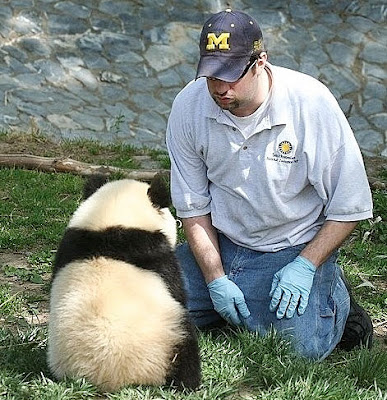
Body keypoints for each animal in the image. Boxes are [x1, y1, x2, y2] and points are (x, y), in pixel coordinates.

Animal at [47, 174, 202, 390]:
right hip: (167, 338)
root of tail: (113, 378)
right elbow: (177, 289)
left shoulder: (71, 243)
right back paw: (189, 382)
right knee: (186, 343)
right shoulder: (157, 254)